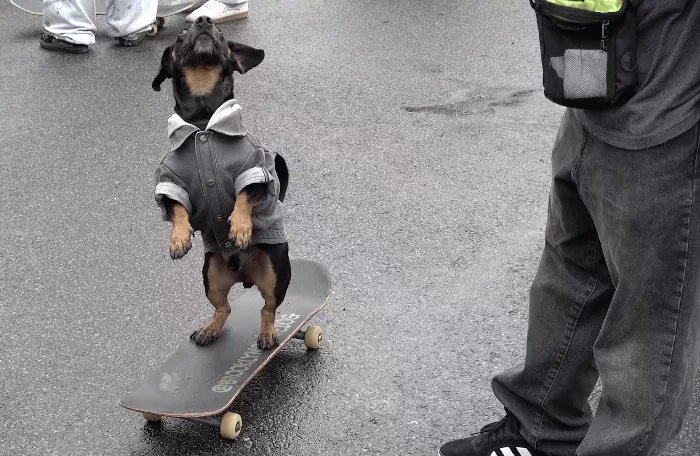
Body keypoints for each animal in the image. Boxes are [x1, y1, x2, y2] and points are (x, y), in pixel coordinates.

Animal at [152, 14, 292, 350]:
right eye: (183, 33)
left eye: (219, 31)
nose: (203, 20)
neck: (204, 122)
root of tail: (245, 277)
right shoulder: (169, 183)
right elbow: (178, 210)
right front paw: (179, 239)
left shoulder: (255, 170)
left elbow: (244, 197)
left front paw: (240, 228)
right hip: (211, 277)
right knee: (224, 308)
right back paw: (209, 329)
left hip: (276, 272)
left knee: (268, 308)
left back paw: (267, 334)